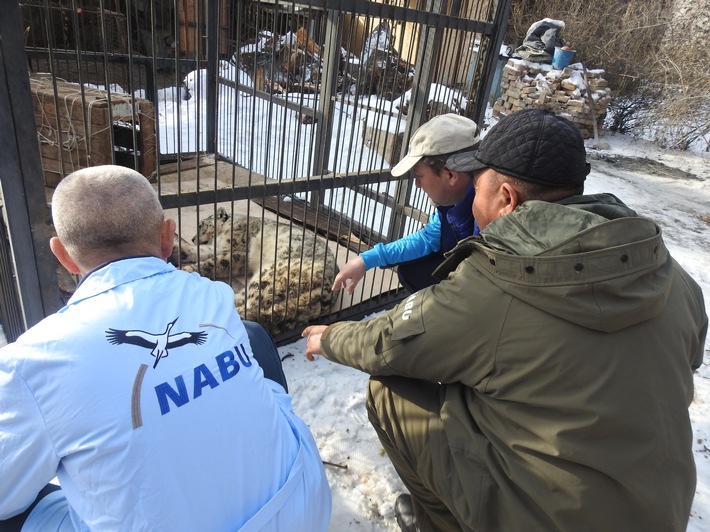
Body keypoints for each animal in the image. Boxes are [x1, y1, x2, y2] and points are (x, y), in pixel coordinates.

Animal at [173, 208, 340, 336]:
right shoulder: (216, 248)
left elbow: (213, 262)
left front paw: (185, 269)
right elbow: (198, 251)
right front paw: (177, 251)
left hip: (267, 276)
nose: (192, 238)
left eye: (200, 225)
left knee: (247, 308)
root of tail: (325, 292)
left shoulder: (237, 252)